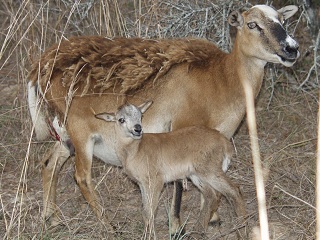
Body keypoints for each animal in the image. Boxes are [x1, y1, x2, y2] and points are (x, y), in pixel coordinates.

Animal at [94, 101, 245, 234]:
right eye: (121, 119)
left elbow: (150, 212)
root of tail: (224, 142)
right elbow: (145, 211)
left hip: (210, 171)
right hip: (197, 175)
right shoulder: (143, 184)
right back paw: (198, 231)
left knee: (233, 190)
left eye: (140, 116)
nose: (138, 129)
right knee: (212, 196)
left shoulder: (156, 181)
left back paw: (242, 228)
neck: (136, 150)